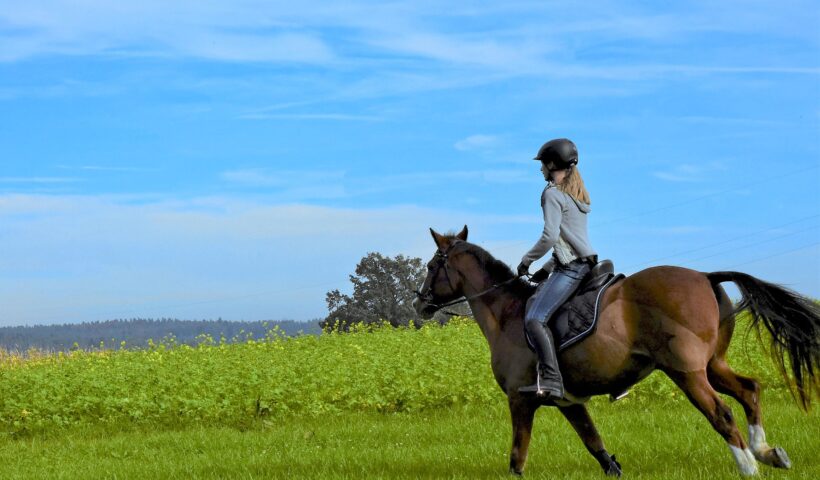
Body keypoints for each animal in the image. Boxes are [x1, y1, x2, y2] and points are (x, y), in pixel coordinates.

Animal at [416, 227, 820, 478]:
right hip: (713, 365)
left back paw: (749, 466)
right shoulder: (568, 402)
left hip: (687, 372)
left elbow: (518, 455)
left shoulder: (520, 399)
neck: (508, 315)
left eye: (432, 265)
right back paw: (768, 452)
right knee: (750, 390)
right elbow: (595, 444)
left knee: (720, 413)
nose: (420, 304)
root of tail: (706, 276)